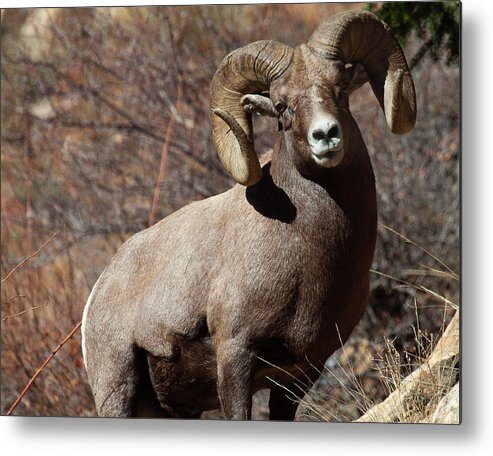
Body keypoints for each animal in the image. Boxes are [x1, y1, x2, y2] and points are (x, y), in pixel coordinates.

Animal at [81, 9, 416, 420]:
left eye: (340, 89)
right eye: (282, 106)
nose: (326, 135)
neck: (310, 253)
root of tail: (99, 291)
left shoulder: (302, 374)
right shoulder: (235, 356)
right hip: (118, 391)